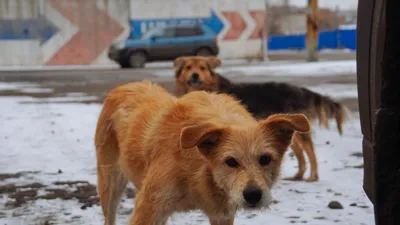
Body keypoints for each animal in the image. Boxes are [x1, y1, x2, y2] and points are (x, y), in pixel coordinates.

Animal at [95, 80, 310, 224]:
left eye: (265, 159)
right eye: (231, 161)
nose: (253, 195)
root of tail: (124, 86)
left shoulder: (222, 215)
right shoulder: (148, 210)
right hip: (110, 186)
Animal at [173, 56, 348, 183]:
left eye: (202, 68)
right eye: (188, 67)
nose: (195, 75)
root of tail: (301, 90)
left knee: (310, 149)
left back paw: (313, 176)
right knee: (299, 151)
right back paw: (298, 175)